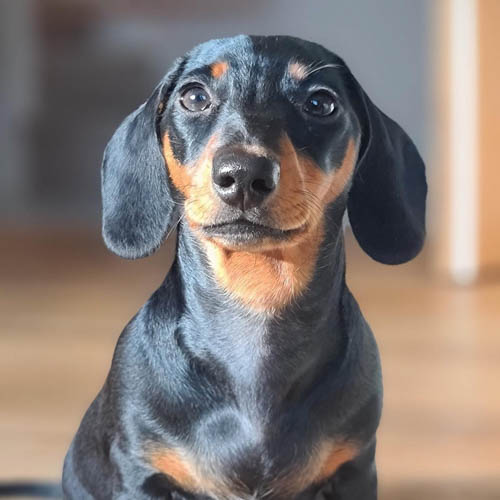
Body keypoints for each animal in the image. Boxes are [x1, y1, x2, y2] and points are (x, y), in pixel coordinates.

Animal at [61, 36, 426, 500]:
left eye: (321, 103)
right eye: (194, 97)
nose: (243, 174)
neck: (254, 308)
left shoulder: (354, 470)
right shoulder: (141, 473)